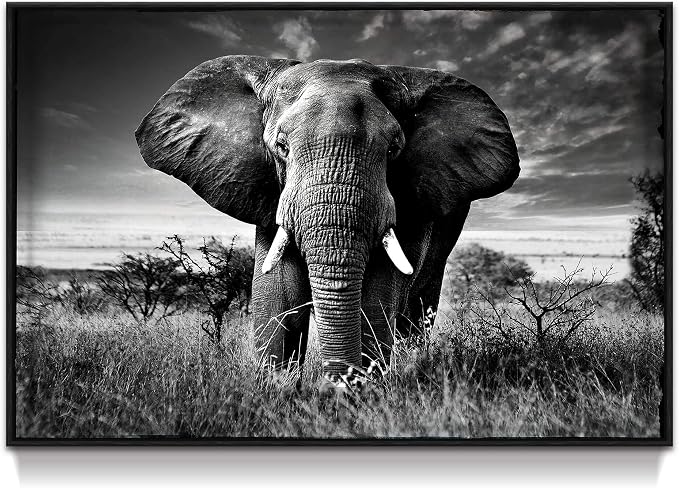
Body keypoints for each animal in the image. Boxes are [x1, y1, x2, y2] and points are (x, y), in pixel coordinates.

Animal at [135, 55, 519, 385]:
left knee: (418, 307)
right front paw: (278, 391)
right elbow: (278, 292)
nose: (333, 385)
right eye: (281, 147)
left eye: (393, 150)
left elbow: (378, 293)